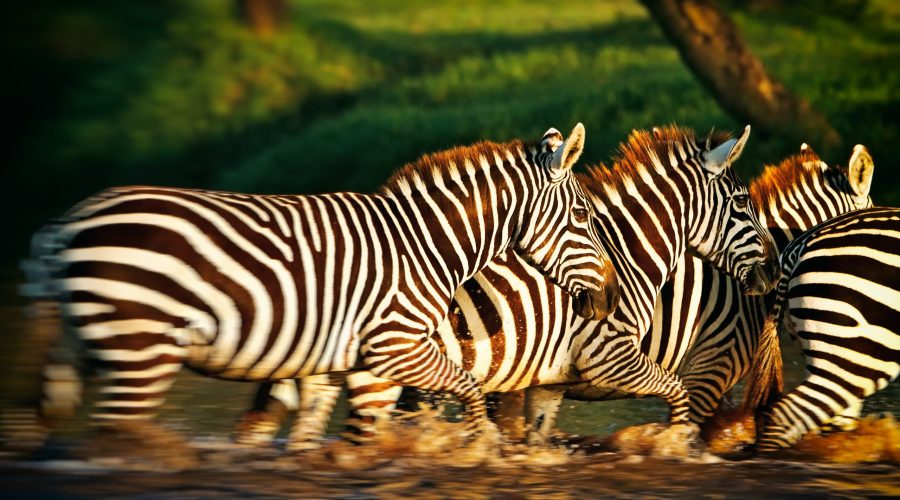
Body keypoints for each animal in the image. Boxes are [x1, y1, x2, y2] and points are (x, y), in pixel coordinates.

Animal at [7, 124, 617, 461]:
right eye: (584, 216)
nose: (610, 298)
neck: (424, 245)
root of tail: (67, 221)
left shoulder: (335, 362)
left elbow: (316, 438)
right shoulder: (394, 347)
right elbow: (468, 391)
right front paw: (483, 451)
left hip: (80, 347)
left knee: (43, 428)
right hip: (140, 350)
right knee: (115, 434)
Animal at [234, 124, 780, 449]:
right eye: (740, 205)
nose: (774, 273)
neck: (628, 256)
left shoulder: (551, 381)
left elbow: (535, 440)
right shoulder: (613, 358)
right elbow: (677, 397)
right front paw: (671, 446)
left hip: (329, 373)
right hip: (382, 377)